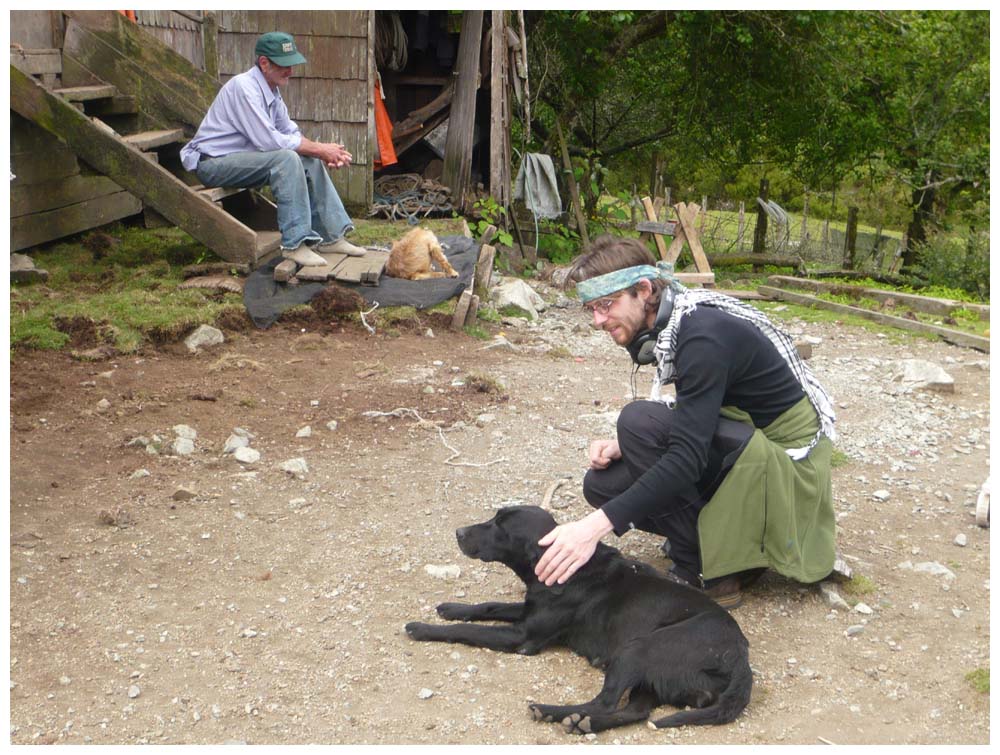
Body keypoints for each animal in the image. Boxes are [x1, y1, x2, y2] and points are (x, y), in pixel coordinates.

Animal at [404, 508, 752, 732]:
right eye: (493, 517)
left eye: (501, 527)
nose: (459, 532)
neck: (566, 570)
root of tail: (740, 659)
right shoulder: (528, 611)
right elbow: (489, 606)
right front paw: (452, 607)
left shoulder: (523, 637)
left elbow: (467, 629)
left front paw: (423, 628)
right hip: (650, 673)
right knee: (634, 712)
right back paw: (584, 724)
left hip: (638, 648)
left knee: (604, 702)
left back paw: (552, 712)